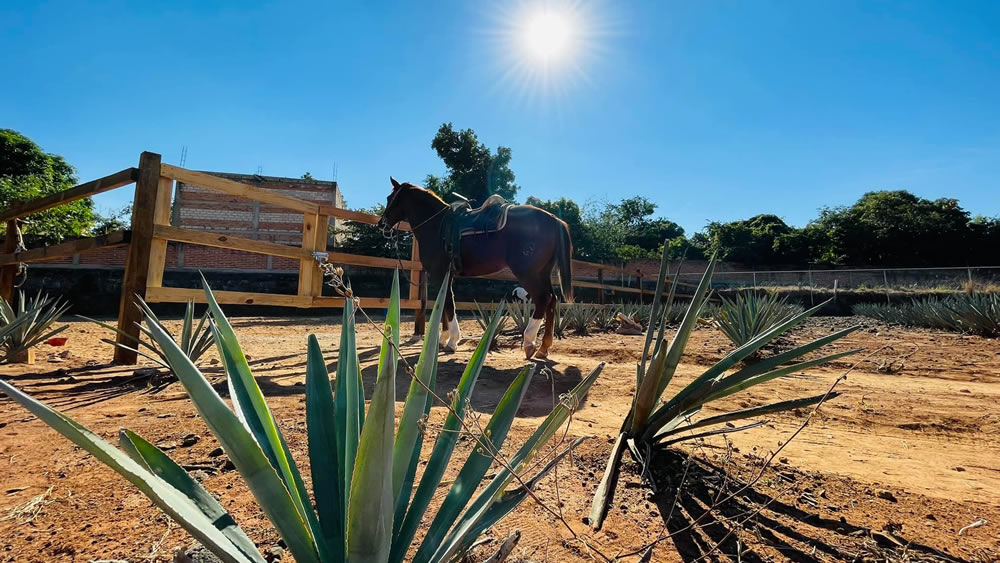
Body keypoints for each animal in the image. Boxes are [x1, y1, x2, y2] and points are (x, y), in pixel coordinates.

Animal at [376, 178, 580, 360]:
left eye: (390, 198)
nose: (381, 224)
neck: (437, 225)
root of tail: (554, 220)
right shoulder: (446, 275)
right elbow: (444, 303)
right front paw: (442, 339)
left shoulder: (439, 273)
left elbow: (447, 303)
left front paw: (452, 342)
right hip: (542, 273)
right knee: (552, 300)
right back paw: (544, 348)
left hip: (528, 273)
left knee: (543, 299)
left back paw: (530, 343)